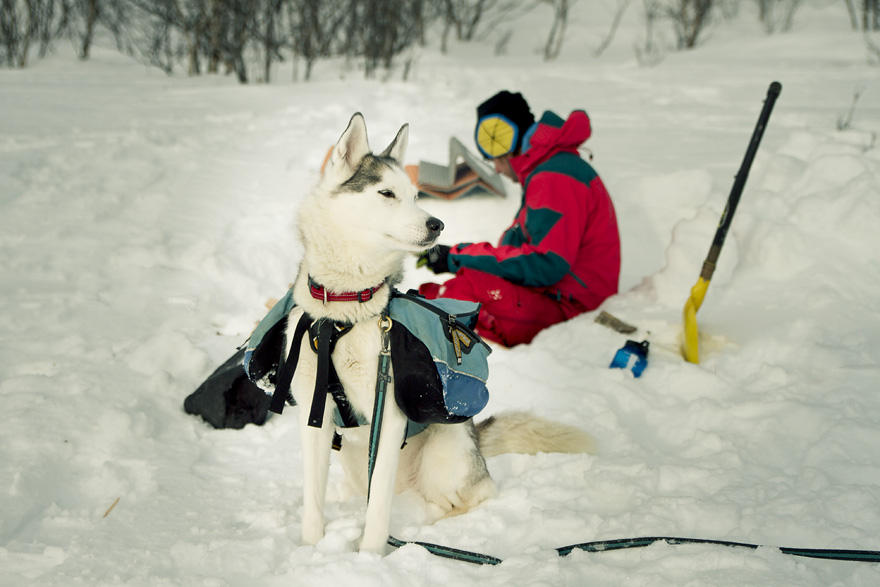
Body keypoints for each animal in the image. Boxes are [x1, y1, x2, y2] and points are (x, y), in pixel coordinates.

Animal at [286, 112, 596, 552]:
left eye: (416, 195)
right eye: (387, 193)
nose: (438, 224)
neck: (345, 311)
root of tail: (477, 443)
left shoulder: (388, 412)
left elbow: (377, 513)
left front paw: (369, 557)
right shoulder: (315, 413)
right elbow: (314, 503)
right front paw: (312, 549)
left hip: (443, 452)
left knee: (470, 497)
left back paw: (426, 529)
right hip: (351, 457)